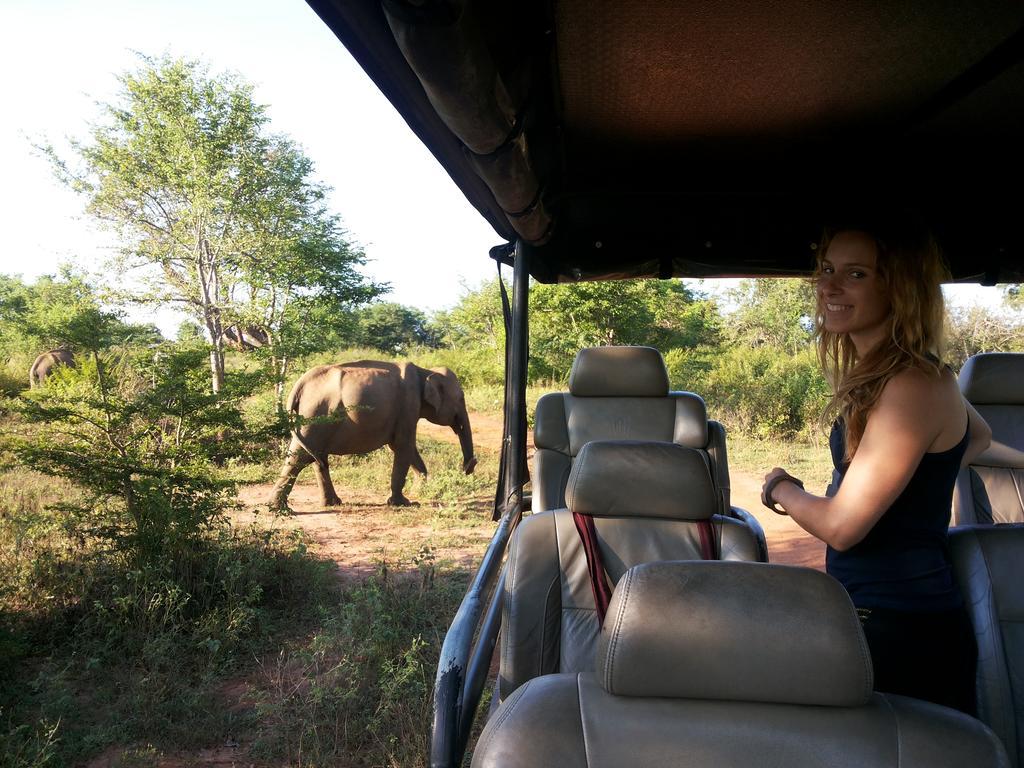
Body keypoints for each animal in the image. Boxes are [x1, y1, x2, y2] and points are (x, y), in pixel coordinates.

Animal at [272, 362, 479, 512]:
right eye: (461, 398)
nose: (468, 466)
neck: (426, 370)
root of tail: (300, 384)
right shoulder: (408, 405)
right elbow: (403, 446)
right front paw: (405, 503)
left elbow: (404, 448)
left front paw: (419, 491)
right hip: (315, 415)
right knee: (301, 458)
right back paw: (279, 509)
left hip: (313, 418)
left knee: (314, 458)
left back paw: (329, 503)